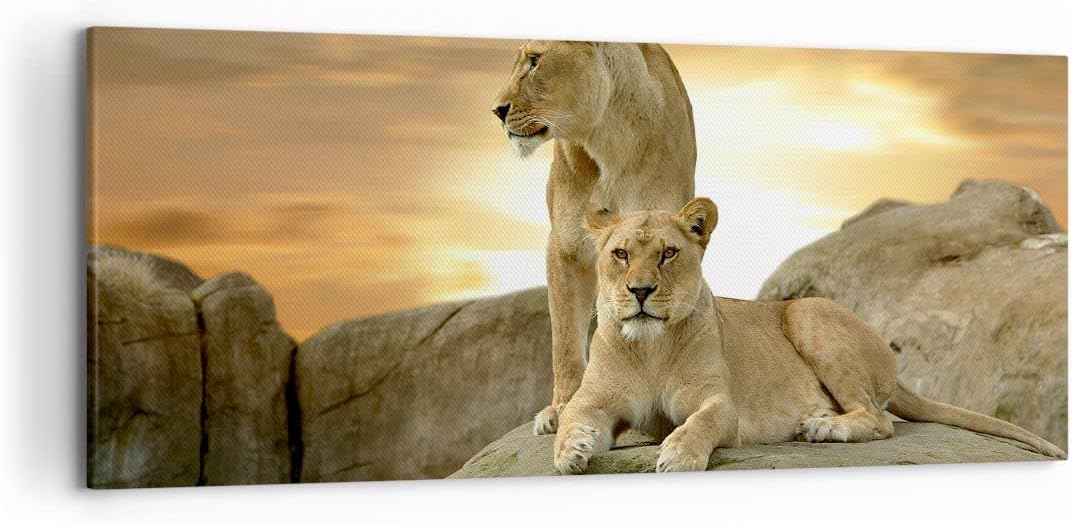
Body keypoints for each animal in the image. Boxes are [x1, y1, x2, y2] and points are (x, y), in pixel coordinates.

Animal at [492, 41, 696, 434]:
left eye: (534, 60)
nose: (497, 110)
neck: (608, 137)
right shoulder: (566, 246)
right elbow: (565, 335)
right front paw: (564, 407)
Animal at [553, 198, 1066, 474]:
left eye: (668, 253)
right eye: (620, 253)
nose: (640, 291)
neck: (650, 348)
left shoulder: (720, 403)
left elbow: (700, 423)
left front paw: (677, 454)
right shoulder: (595, 399)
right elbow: (572, 416)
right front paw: (570, 450)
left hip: (807, 313)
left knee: (877, 419)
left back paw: (820, 426)